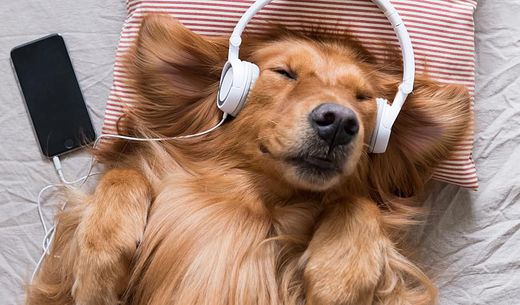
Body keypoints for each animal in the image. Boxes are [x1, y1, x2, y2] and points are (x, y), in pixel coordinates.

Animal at [25, 13, 472, 304]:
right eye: (284, 73)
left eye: (363, 98)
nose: (340, 122)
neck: (255, 202)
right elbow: (122, 175)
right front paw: (98, 266)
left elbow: (359, 202)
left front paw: (338, 277)